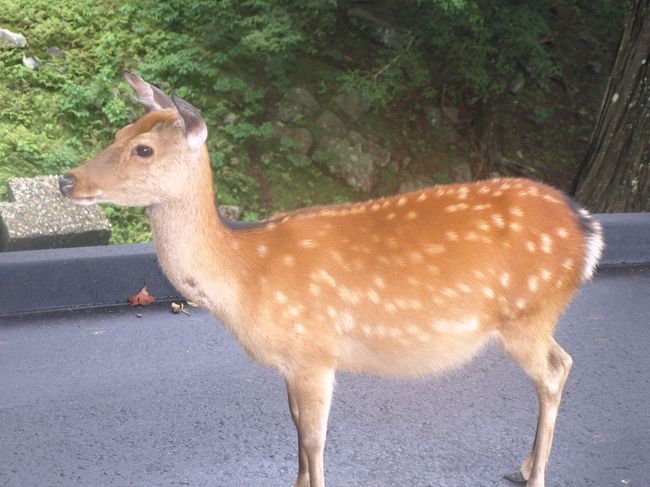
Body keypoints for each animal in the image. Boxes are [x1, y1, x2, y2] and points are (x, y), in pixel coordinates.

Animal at [59, 71, 604, 487]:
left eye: (144, 150)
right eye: (119, 133)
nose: (68, 179)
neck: (247, 274)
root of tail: (588, 229)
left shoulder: (315, 350)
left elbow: (314, 438)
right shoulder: (290, 362)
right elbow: (297, 431)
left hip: (527, 314)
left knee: (555, 371)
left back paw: (536, 476)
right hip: (534, 318)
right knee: (563, 362)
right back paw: (523, 467)